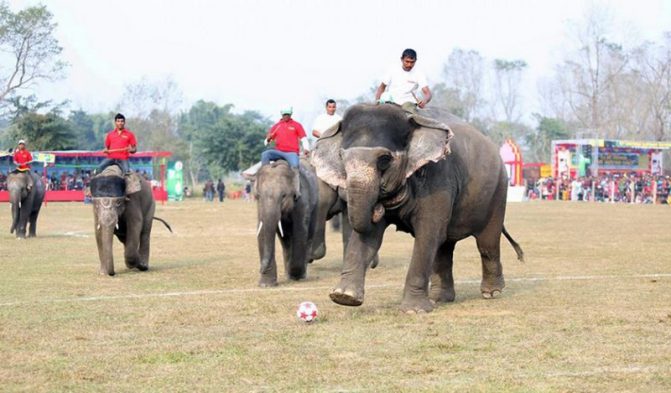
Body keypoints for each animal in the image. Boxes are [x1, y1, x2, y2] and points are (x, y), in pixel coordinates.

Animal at [256, 158, 322, 286]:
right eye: (258, 196)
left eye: (283, 196)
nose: (260, 269)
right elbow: (262, 230)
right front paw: (266, 285)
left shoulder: (302, 199)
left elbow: (300, 230)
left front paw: (295, 275)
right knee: (285, 240)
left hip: (316, 205)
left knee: (308, 234)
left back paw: (299, 274)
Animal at [312, 103, 524, 312]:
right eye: (341, 157)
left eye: (384, 159)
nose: (377, 209)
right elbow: (369, 236)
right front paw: (343, 297)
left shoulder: (438, 177)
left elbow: (428, 233)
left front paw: (414, 310)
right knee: (444, 247)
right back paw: (440, 298)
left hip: (498, 191)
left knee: (486, 243)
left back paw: (491, 293)